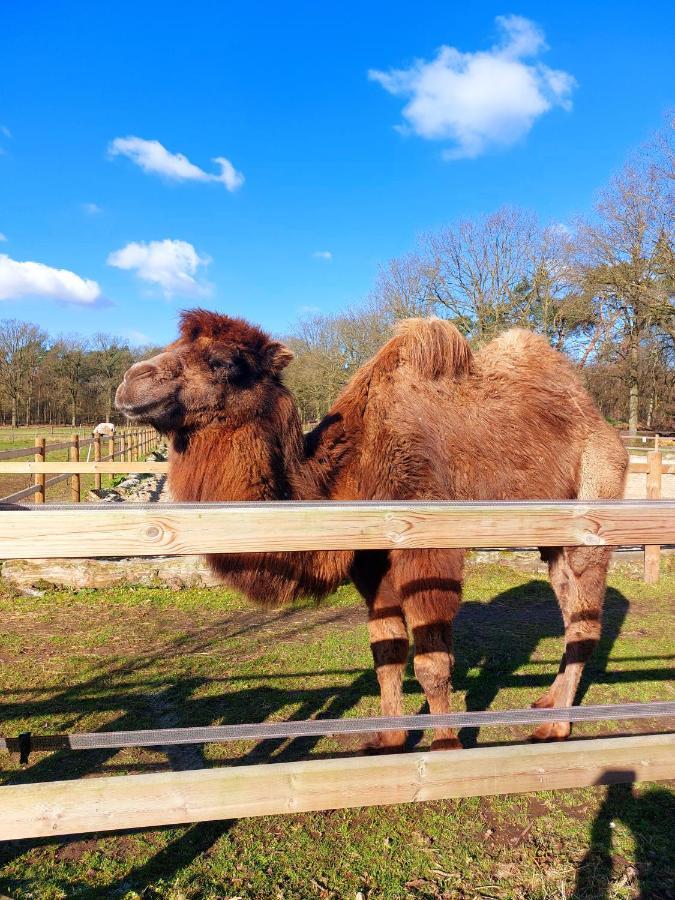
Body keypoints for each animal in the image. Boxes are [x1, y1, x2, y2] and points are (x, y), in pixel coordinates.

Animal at [115, 312, 628, 748]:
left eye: (225, 363)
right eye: (174, 344)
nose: (130, 381)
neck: (350, 474)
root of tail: (602, 422)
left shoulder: (428, 546)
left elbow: (431, 662)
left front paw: (444, 745)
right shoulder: (370, 560)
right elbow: (387, 653)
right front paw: (390, 738)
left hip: (597, 499)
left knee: (586, 619)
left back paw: (555, 726)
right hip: (553, 536)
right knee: (568, 605)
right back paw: (547, 702)